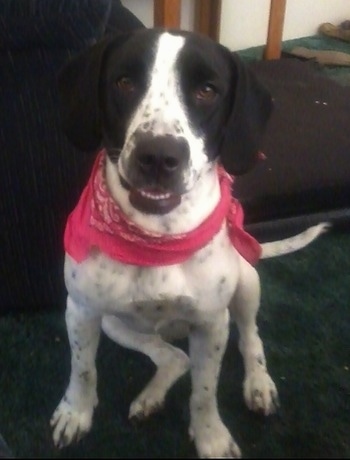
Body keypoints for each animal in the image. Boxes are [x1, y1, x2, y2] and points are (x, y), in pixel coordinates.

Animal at [50, 27, 328, 456]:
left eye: (207, 90)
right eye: (124, 82)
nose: (158, 156)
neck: (157, 236)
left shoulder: (212, 325)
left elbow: (205, 391)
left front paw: (211, 435)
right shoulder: (80, 311)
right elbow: (82, 369)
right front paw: (75, 412)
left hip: (246, 284)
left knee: (251, 338)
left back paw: (258, 384)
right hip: (117, 324)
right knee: (174, 357)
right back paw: (151, 397)